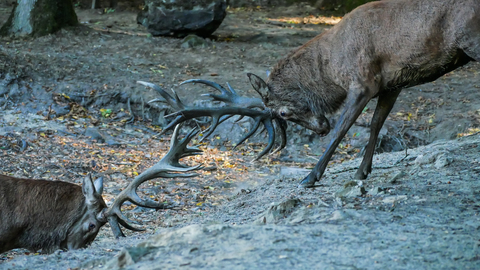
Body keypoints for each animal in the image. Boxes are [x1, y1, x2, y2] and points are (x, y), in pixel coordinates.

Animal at [141, 0, 478, 188]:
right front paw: (362, 172)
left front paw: (311, 176)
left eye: (283, 112)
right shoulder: (391, 84)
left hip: (471, 40)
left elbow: (344, 129)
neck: (331, 68)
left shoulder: (363, 81)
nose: (320, 128)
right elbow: (376, 125)